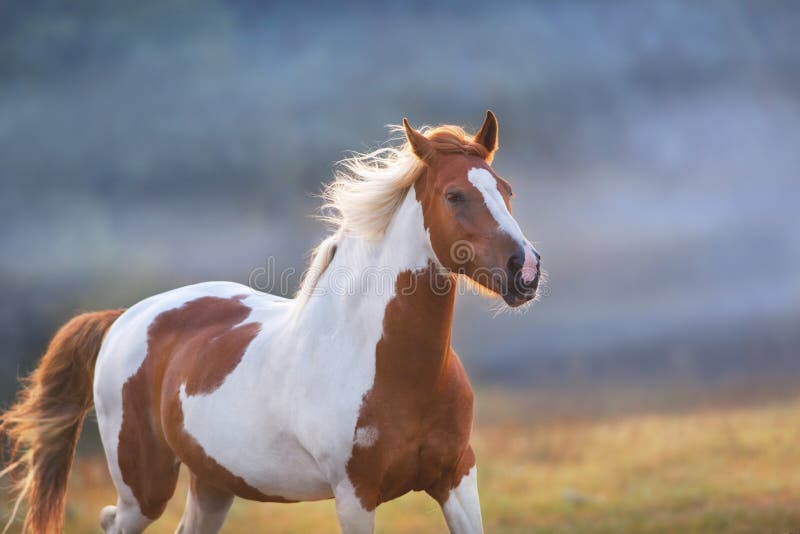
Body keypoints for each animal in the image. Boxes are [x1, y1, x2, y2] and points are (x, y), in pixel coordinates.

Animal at [0, 111, 540, 532]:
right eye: (454, 195)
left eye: (507, 190)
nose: (526, 269)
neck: (388, 365)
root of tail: (124, 318)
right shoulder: (355, 496)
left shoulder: (456, 479)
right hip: (144, 488)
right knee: (113, 519)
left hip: (211, 484)